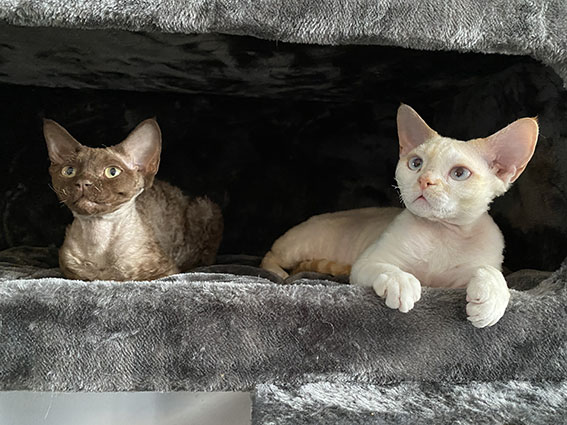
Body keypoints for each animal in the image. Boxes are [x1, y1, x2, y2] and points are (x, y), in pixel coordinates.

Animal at [44, 117, 223, 280]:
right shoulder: (70, 271)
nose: (83, 183)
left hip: (205, 207)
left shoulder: (164, 271)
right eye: (69, 171)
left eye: (112, 172)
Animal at [262, 104, 536, 326]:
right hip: (297, 245)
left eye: (459, 173)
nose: (425, 180)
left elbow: (493, 272)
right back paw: (279, 274)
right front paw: (401, 282)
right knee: (270, 255)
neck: (442, 231)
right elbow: (387, 268)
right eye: (416, 163)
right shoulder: (368, 261)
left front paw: (492, 298)